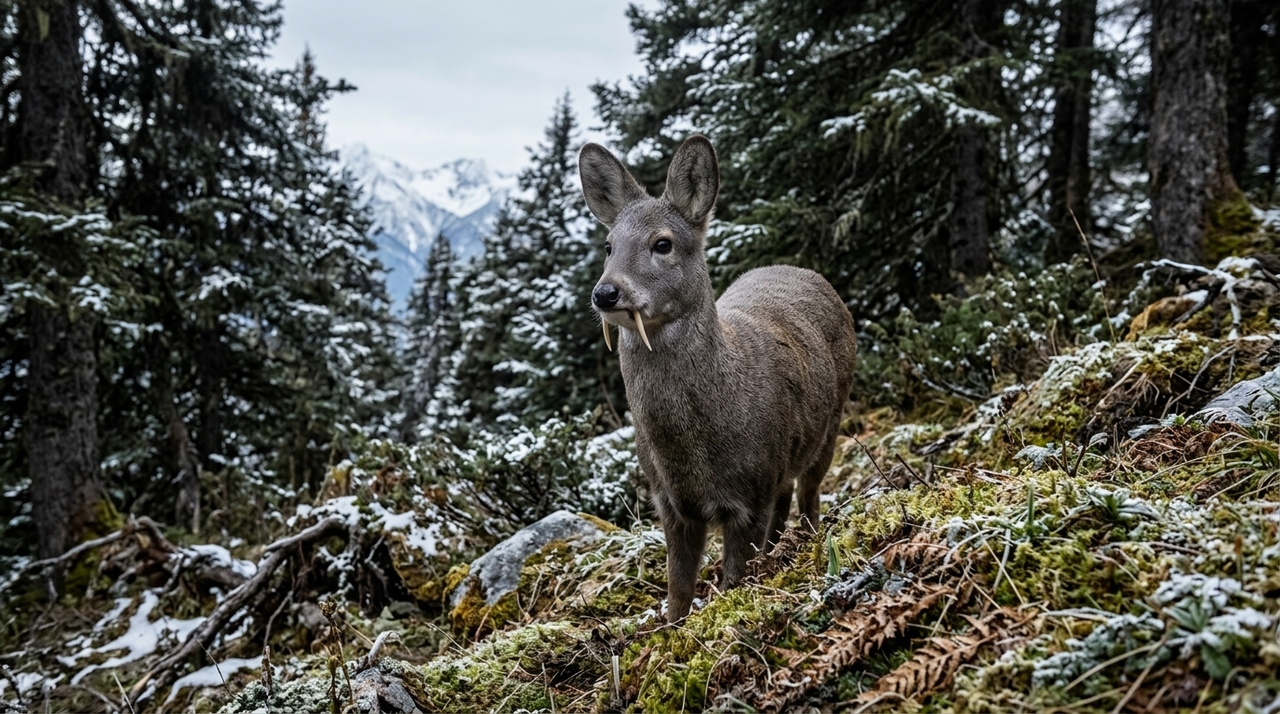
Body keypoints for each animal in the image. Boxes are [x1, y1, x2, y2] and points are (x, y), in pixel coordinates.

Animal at [578, 135, 857, 622]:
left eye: (663, 243)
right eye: (609, 245)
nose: (606, 293)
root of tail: (803, 271)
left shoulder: (750, 495)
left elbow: (733, 581)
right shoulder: (668, 502)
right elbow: (677, 592)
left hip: (831, 423)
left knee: (809, 493)